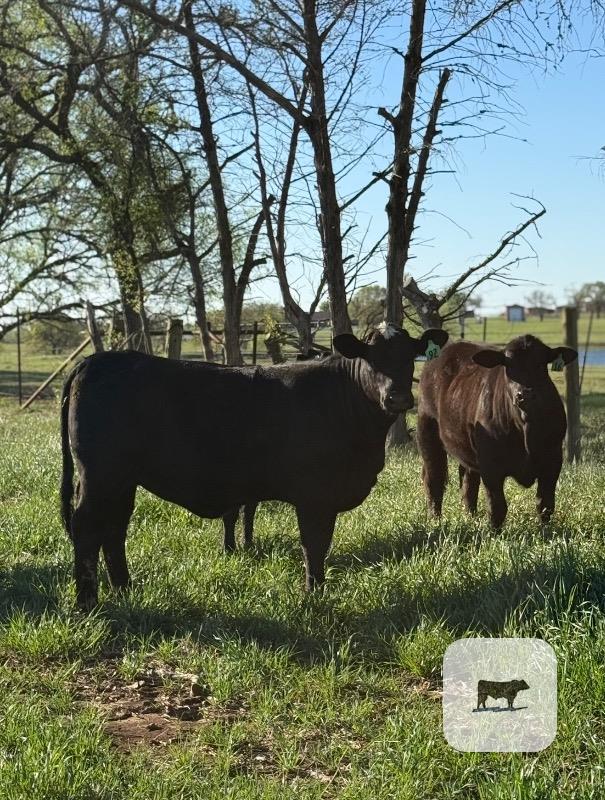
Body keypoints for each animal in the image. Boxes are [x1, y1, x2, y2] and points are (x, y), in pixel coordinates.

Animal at [61, 323, 449, 610]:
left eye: (410, 357)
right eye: (371, 357)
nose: (397, 397)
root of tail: (96, 361)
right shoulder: (315, 496)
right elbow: (314, 545)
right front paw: (314, 594)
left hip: (121, 480)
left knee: (114, 528)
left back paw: (124, 590)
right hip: (101, 476)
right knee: (88, 527)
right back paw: (87, 602)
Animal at [417, 335, 577, 528]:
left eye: (541, 364)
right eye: (508, 366)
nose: (525, 395)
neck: (526, 430)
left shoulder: (552, 461)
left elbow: (545, 504)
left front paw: (545, 530)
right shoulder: (491, 466)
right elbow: (497, 507)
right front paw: (493, 531)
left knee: (468, 482)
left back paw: (470, 516)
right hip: (427, 429)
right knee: (434, 478)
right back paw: (435, 520)